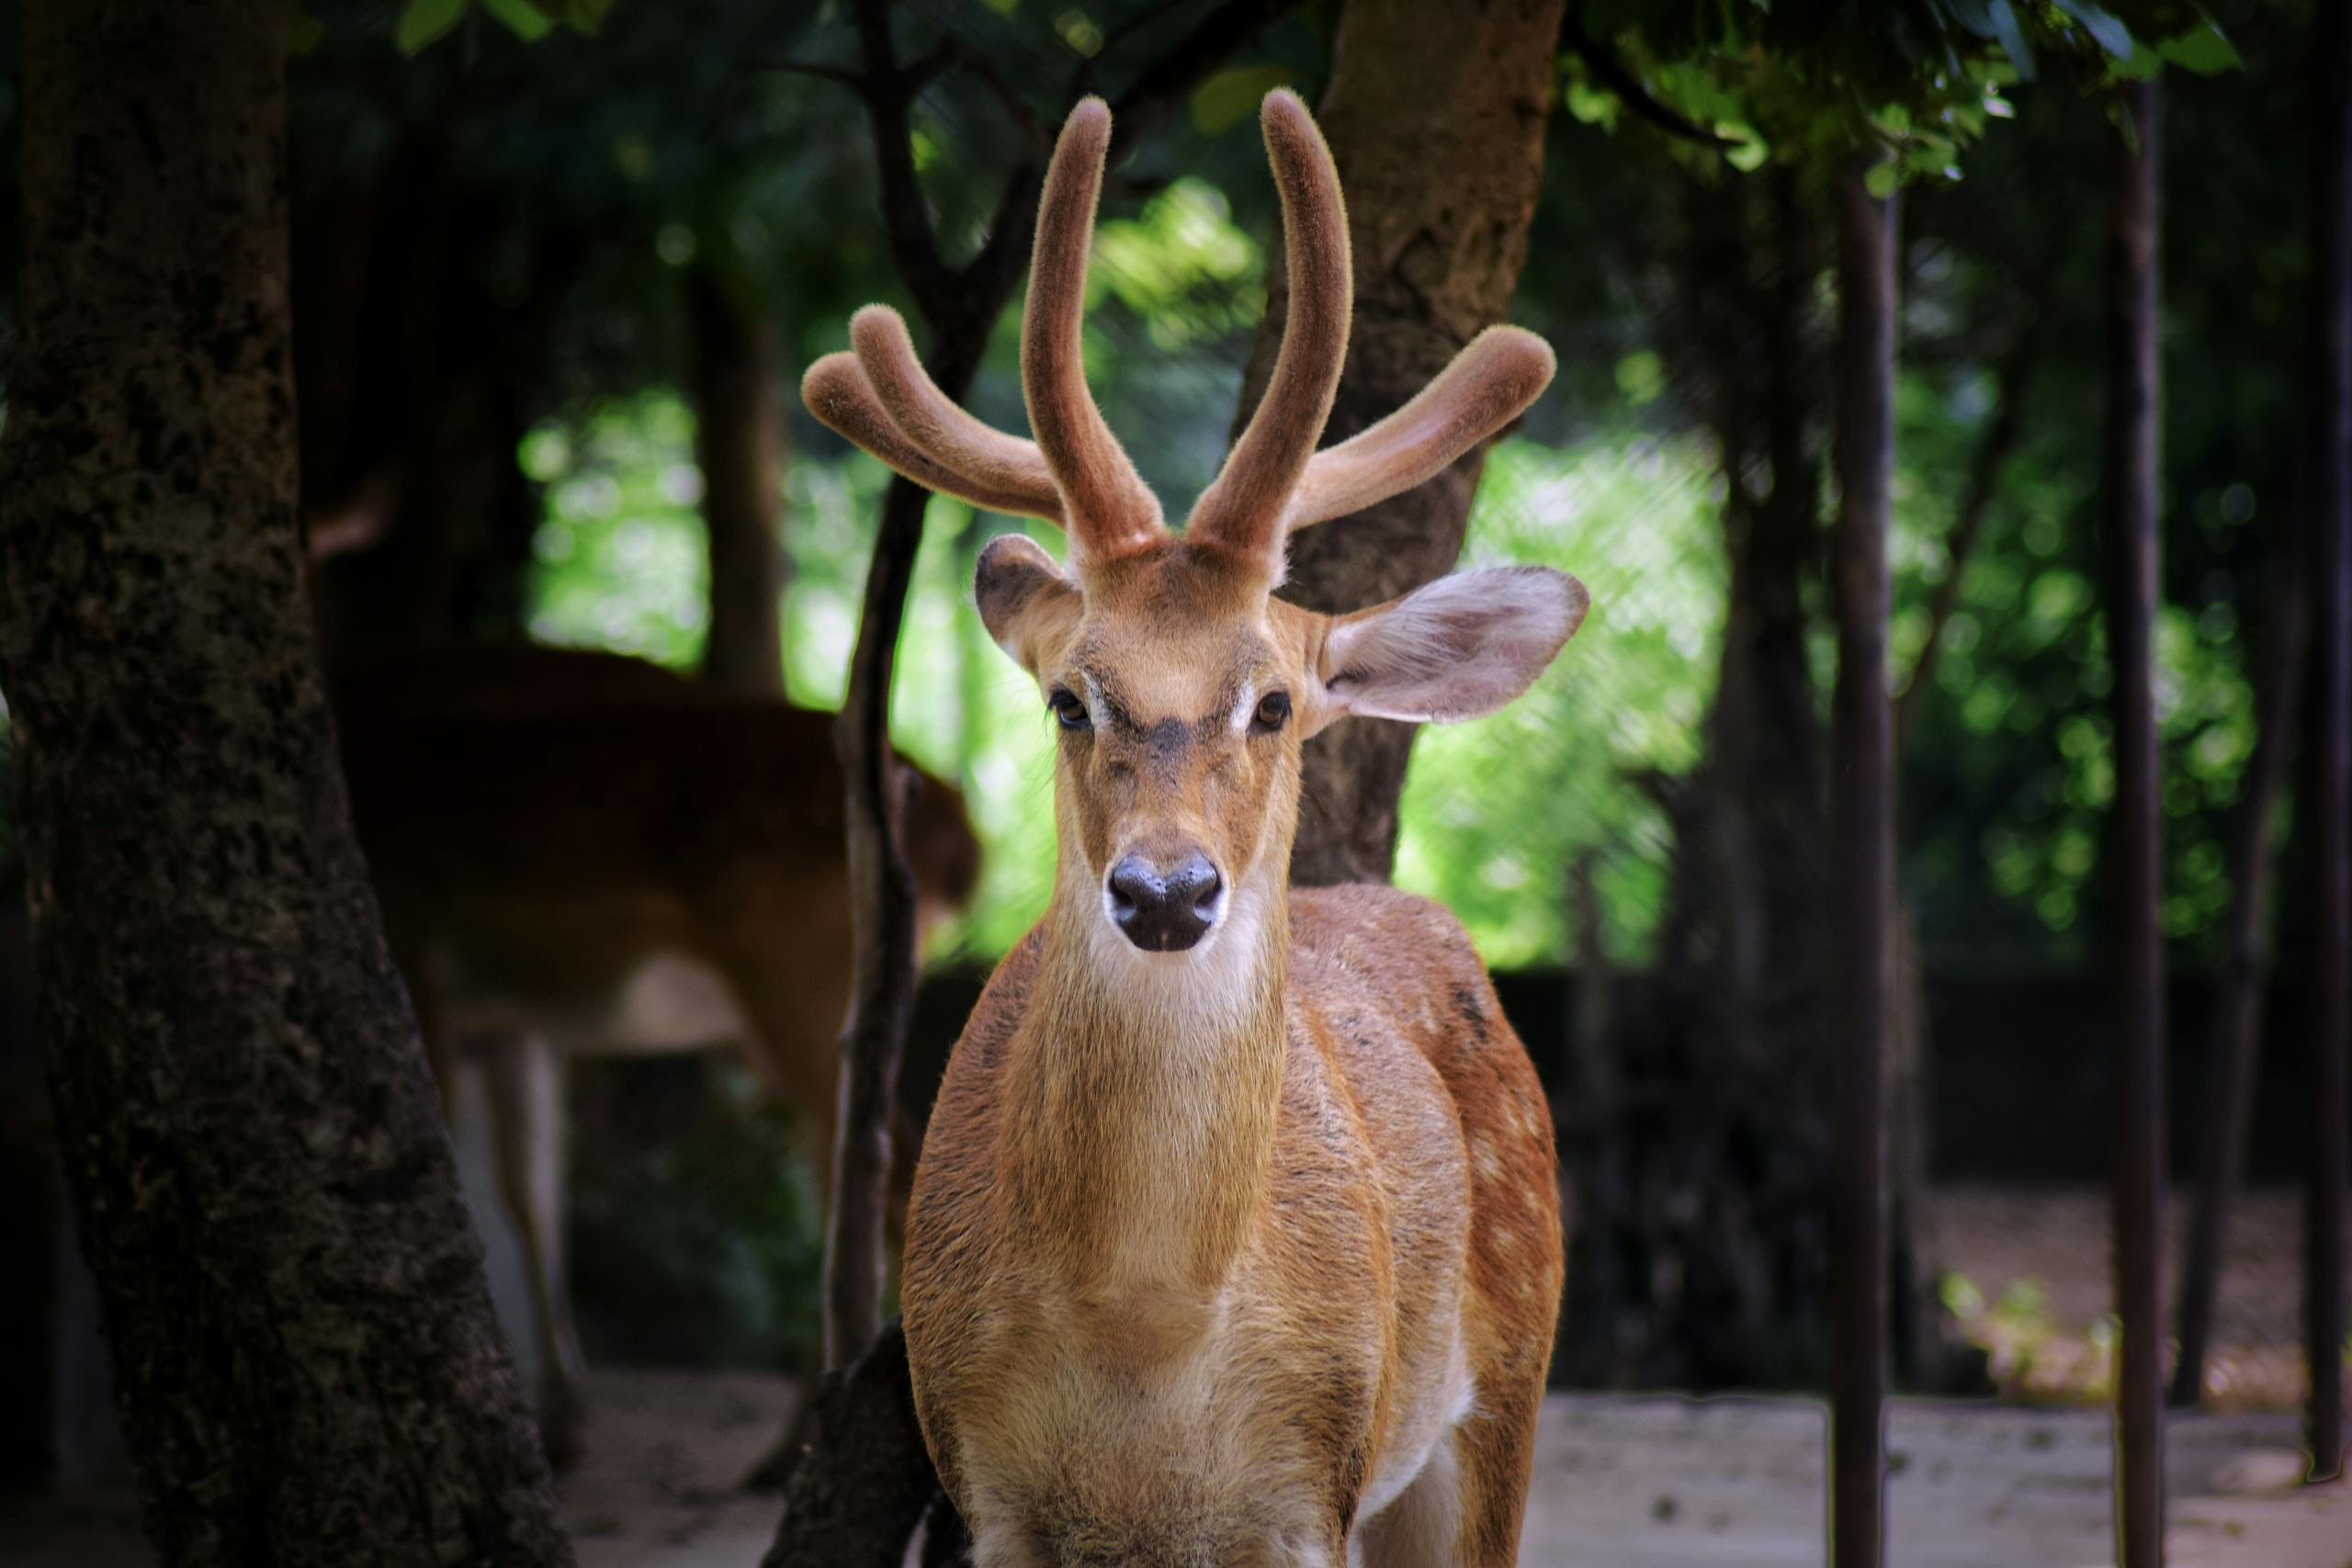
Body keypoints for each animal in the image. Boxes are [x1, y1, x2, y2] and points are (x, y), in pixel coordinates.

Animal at [331, 642, 980, 1467]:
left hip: (801, 981)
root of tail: (961, 837)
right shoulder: (508, 1021)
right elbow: (527, 1188)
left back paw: (809, 1445)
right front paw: (559, 1420)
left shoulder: (418, 957)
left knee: (887, 1183)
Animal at [801, 90, 1581, 1564]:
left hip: (1509, 1366)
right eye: (1068, 698)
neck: (1142, 1349)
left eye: (1272, 702)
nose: (1166, 891)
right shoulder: (981, 1482)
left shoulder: (1310, 1489)